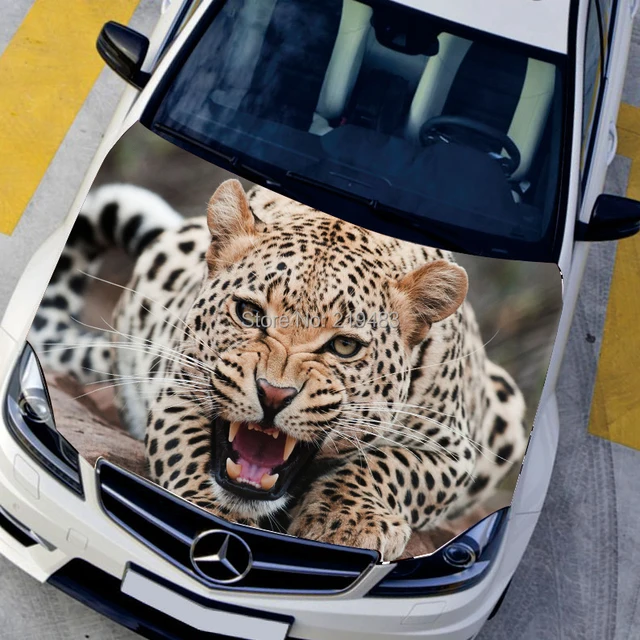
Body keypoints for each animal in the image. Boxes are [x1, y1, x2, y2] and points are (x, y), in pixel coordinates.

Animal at [30, 179, 527, 561]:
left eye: (344, 346)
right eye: (249, 314)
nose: (272, 394)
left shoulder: (452, 448)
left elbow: (389, 465)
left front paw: (346, 522)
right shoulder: (180, 388)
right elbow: (191, 451)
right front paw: (218, 521)